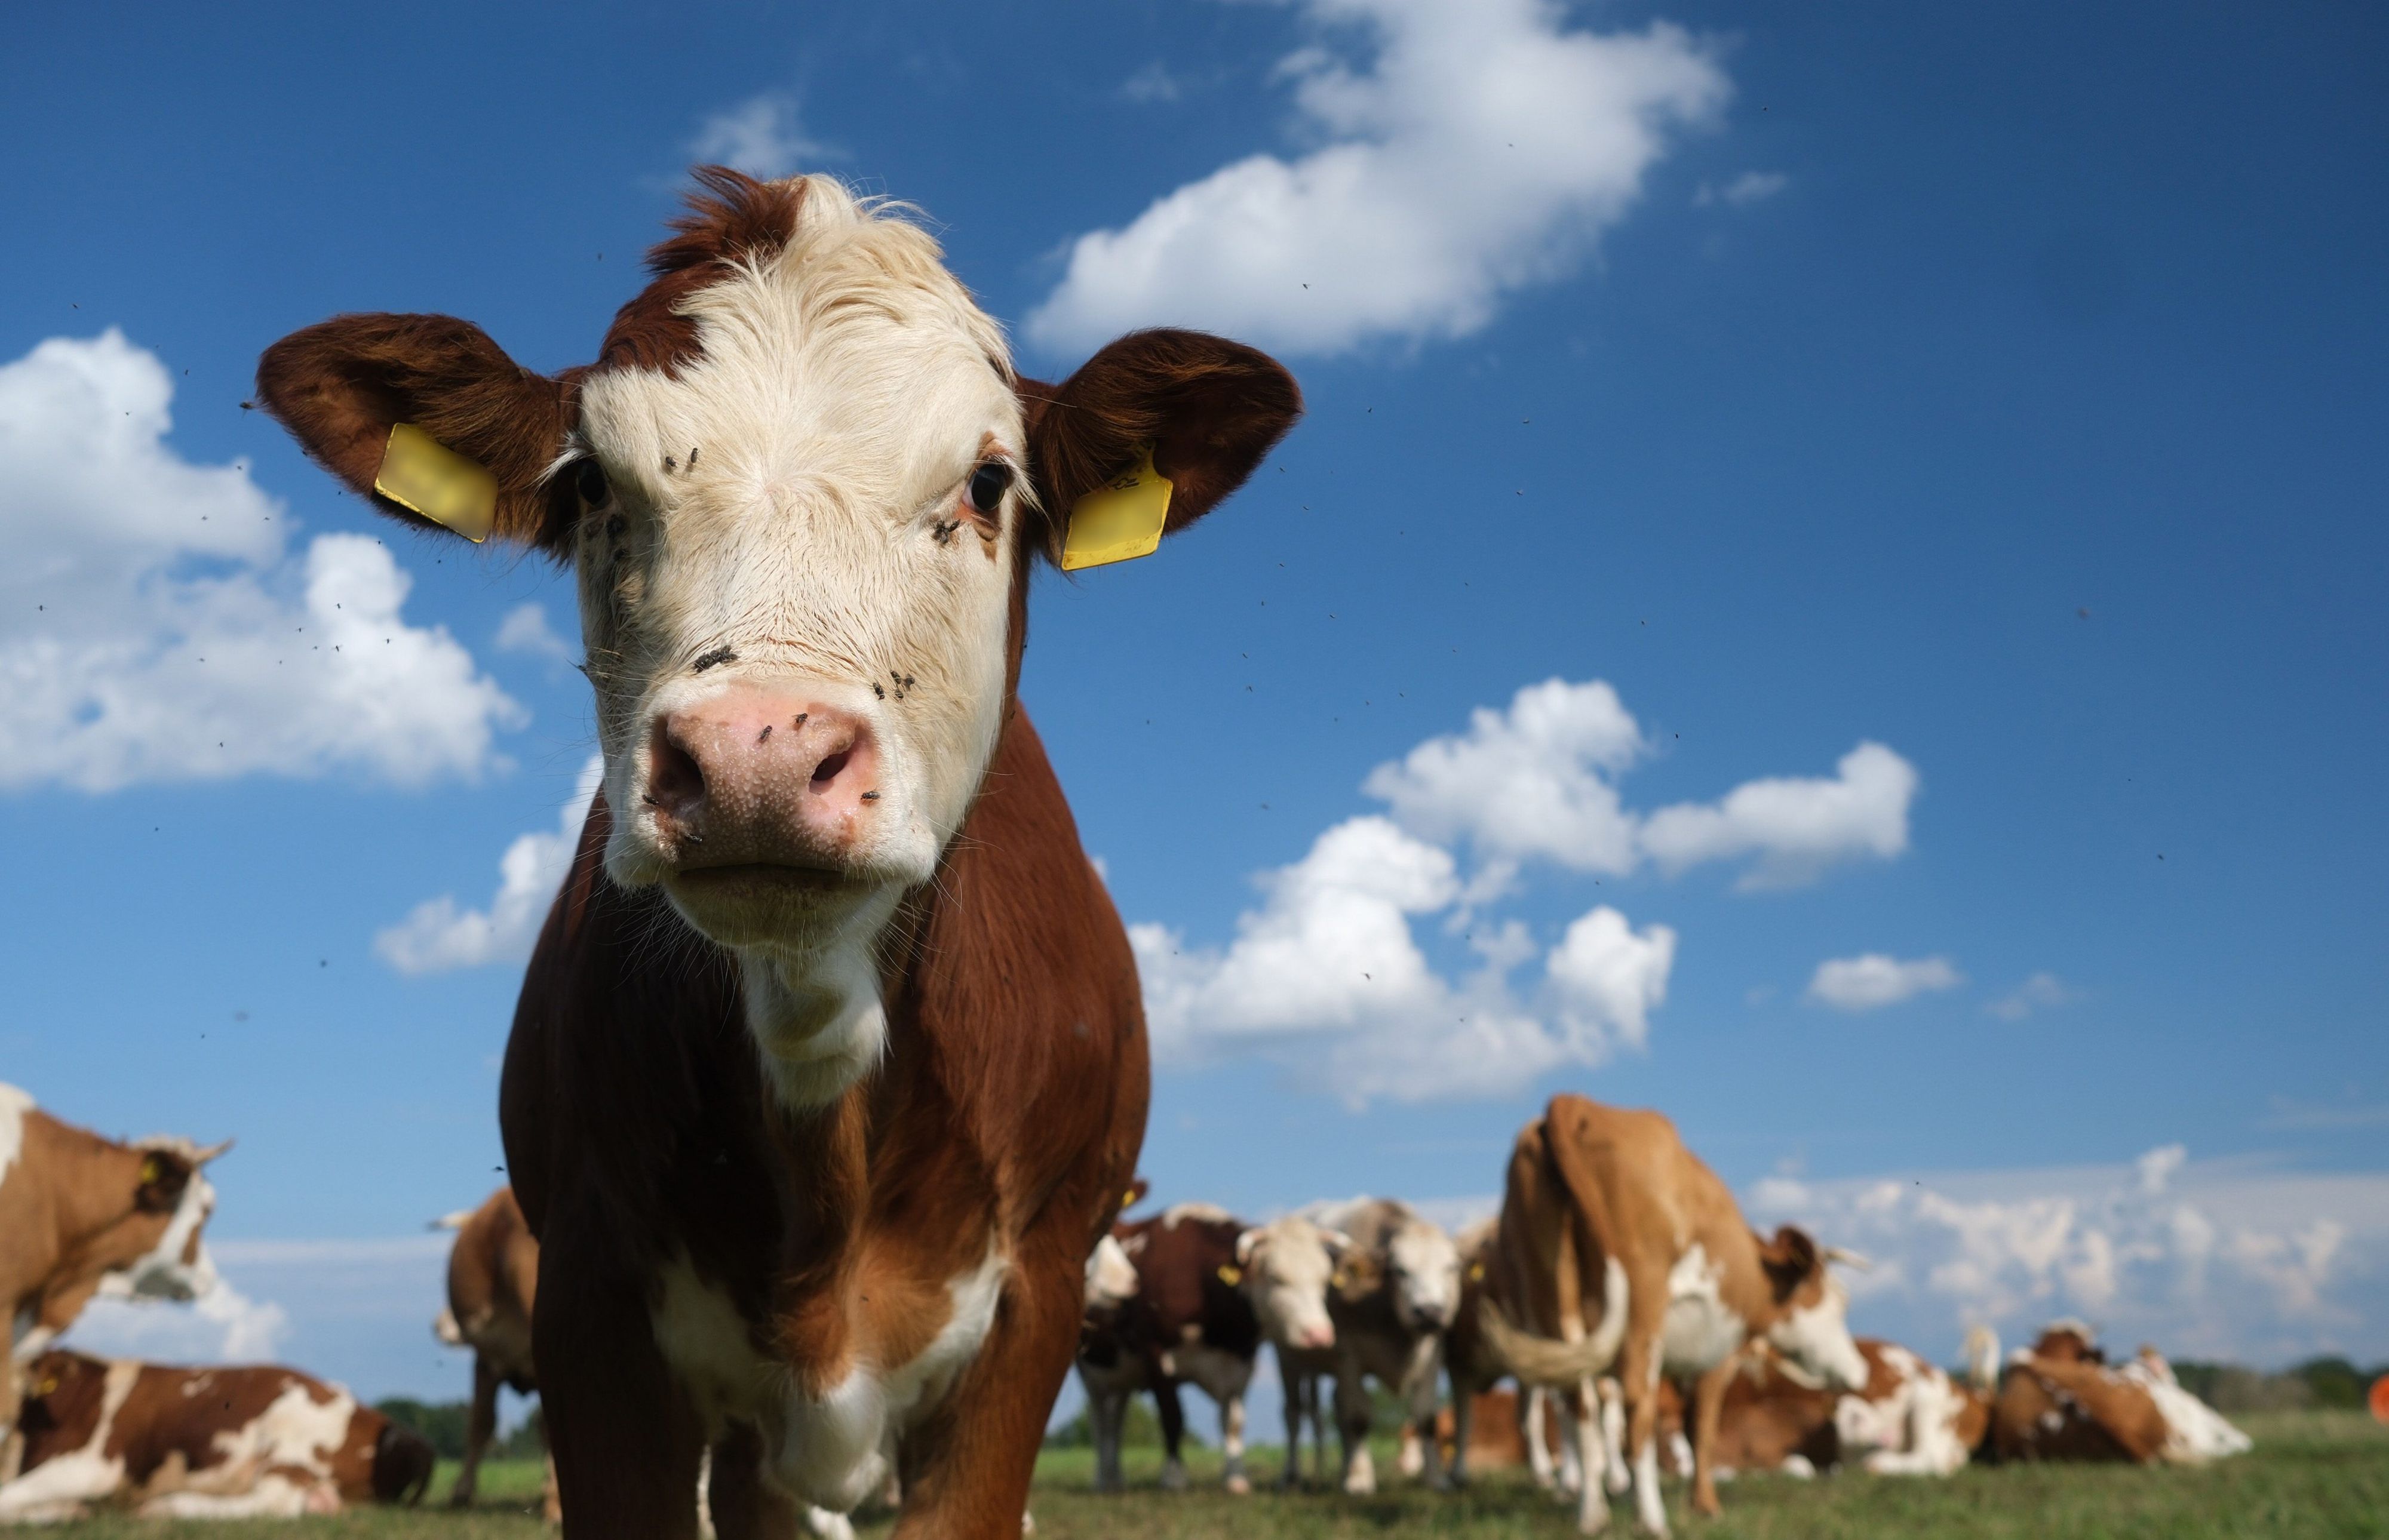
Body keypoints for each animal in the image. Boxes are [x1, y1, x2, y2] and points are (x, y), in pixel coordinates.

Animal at [0, 1349, 432, 1521]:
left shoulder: (94, 1466)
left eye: (11, 1385)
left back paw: (168, 1506)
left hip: (288, 1439)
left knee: (277, 1502)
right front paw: (61, 1511)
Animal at [1280, 1197, 1462, 1495]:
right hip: (1289, 1360)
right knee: (1294, 1413)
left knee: (1336, 1409)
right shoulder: (1349, 1357)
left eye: (1452, 1267)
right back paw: (1292, 1477)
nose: (1429, 1311)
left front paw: (1435, 1480)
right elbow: (1358, 1418)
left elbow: (1426, 1418)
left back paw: (1344, 1470)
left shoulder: (1432, 1353)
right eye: (1400, 1270)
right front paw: (1360, 1481)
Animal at [1473, 1095, 1868, 1535]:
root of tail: (1574, 1101)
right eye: (1839, 1302)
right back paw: (1650, 1519)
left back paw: (1592, 1515)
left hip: (1552, 1295)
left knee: (1579, 1404)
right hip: (1642, 1299)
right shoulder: (1718, 1353)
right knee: (1636, 1406)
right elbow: (1701, 1429)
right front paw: (1706, 1505)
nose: (1860, 1370)